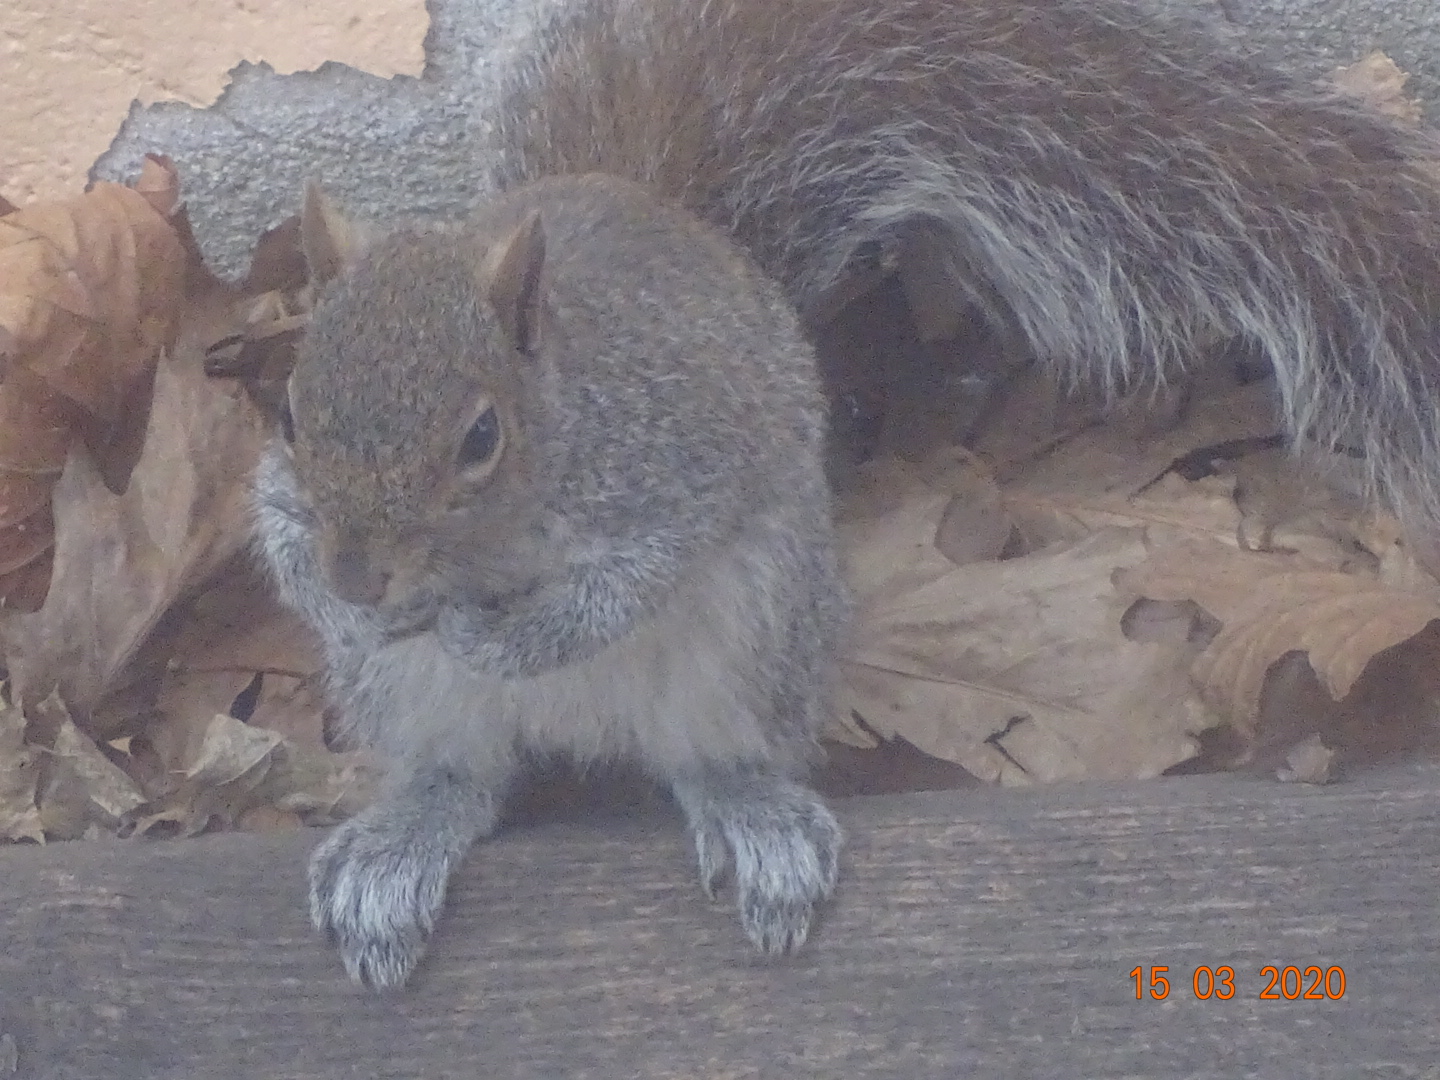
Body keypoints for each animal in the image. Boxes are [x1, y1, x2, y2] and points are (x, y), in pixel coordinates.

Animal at [257, 0, 1440, 988]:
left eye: (480, 436)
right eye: (289, 409)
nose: (357, 577)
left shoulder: (681, 464)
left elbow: (630, 582)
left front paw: (507, 637)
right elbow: (274, 529)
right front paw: (323, 596)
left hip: (760, 631)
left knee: (717, 754)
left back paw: (752, 816)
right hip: (415, 700)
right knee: (461, 776)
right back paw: (402, 842)